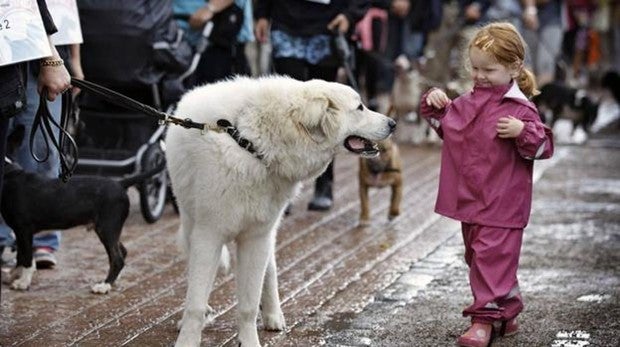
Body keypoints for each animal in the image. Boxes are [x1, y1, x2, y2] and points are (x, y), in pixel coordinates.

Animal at [1, 125, 160, 294]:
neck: (8, 174)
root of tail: (120, 183)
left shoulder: (24, 230)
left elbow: (27, 258)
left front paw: (23, 282)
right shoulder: (19, 232)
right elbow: (20, 255)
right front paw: (13, 275)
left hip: (107, 227)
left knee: (117, 258)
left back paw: (104, 285)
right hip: (110, 228)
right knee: (122, 251)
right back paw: (113, 281)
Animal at [166, 77, 398, 347]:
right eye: (360, 107)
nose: (393, 124)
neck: (249, 143)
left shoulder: (256, 238)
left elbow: (248, 305)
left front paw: (250, 340)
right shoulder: (208, 236)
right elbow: (195, 302)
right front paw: (187, 339)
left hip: (267, 233)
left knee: (270, 272)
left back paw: (273, 315)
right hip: (191, 225)